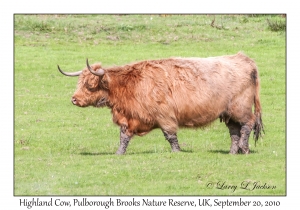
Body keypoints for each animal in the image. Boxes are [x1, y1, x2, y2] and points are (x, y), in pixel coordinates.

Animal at [57, 52, 264, 154]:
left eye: (90, 84)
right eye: (79, 81)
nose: (74, 99)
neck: (130, 86)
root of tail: (244, 59)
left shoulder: (165, 115)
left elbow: (170, 135)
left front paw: (177, 152)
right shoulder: (129, 117)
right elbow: (124, 137)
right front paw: (118, 153)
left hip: (240, 108)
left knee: (248, 124)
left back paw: (244, 148)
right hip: (228, 113)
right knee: (235, 131)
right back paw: (233, 152)